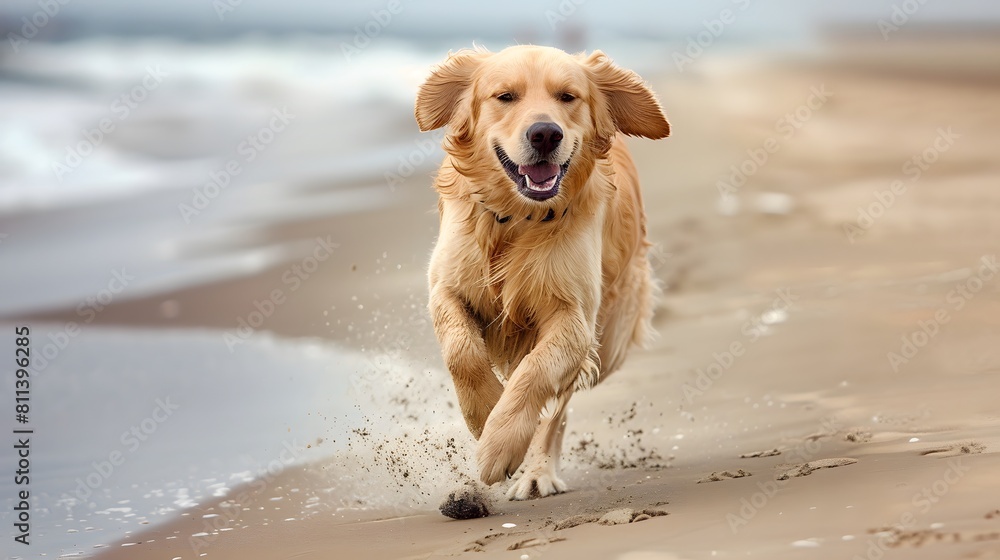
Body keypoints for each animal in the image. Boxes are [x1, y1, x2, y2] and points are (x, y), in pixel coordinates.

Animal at [414, 44, 672, 498]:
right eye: (505, 96)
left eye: (568, 97)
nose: (545, 134)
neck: (518, 219)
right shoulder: (445, 286)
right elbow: (462, 351)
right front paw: (483, 412)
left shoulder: (574, 318)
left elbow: (536, 375)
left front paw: (499, 443)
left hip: (607, 339)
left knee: (556, 407)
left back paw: (537, 472)